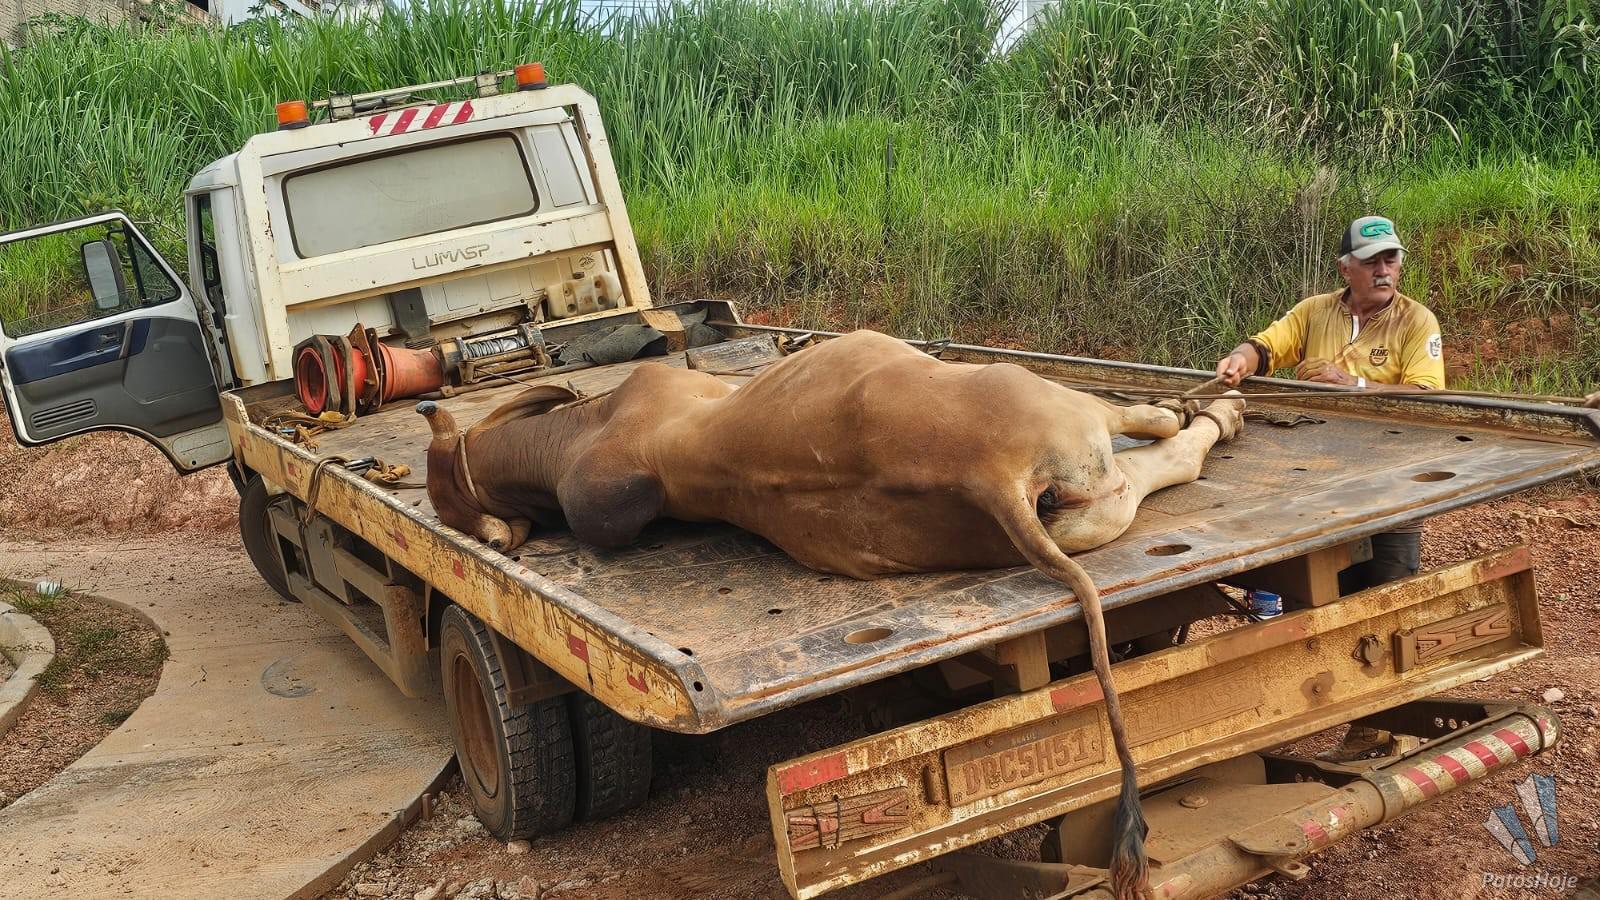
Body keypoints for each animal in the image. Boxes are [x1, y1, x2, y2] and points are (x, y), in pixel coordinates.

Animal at [418, 329, 1245, 900]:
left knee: (1159, 456)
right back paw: (1217, 408)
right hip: (1064, 412)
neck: (569, 447)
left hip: (1092, 501)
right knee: (1162, 437)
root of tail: (992, 475)